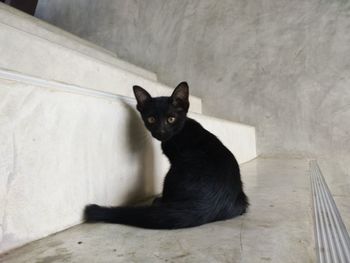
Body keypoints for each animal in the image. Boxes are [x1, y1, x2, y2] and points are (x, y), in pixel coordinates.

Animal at [85, 82, 249, 229]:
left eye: (171, 119)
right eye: (151, 119)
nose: (161, 132)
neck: (179, 132)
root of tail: (207, 206)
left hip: (172, 173)